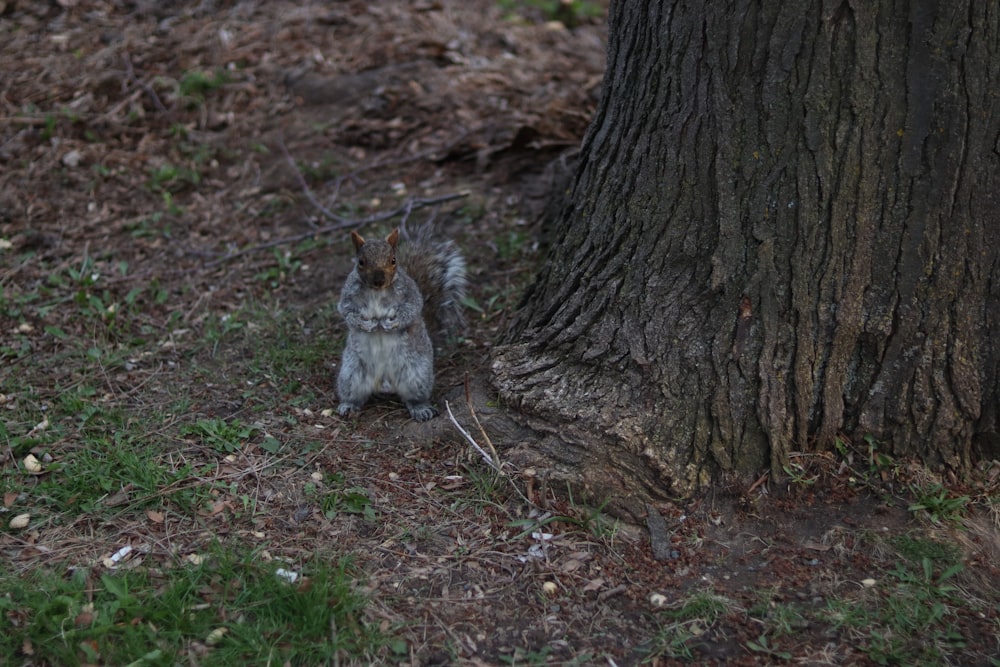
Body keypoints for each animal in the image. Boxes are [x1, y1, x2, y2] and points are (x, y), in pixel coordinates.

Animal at [332, 227, 464, 420]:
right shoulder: (347, 298)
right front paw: (367, 325)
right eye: (361, 262)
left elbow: (411, 310)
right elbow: (347, 312)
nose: (379, 280)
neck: (377, 291)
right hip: (351, 374)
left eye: (393, 260)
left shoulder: (411, 295)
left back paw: (421, 409)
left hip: (417, 375)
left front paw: (390, 323)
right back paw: (348, 405)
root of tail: (385, 383)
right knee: (354, 394)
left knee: (414, 398)